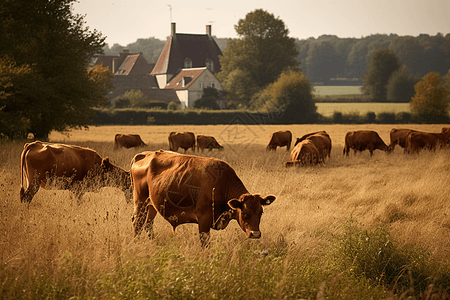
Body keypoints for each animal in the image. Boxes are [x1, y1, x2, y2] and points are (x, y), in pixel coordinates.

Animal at [130, 150, 276, 246]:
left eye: (261, 213)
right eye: (244, 213)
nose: (255, 234)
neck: (222, 184)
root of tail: (144, 154)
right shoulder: (204, 221)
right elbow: (205, 243)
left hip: (152, 205)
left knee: (148, 224)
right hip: (140, 201)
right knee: (138, 223)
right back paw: (136, 243)